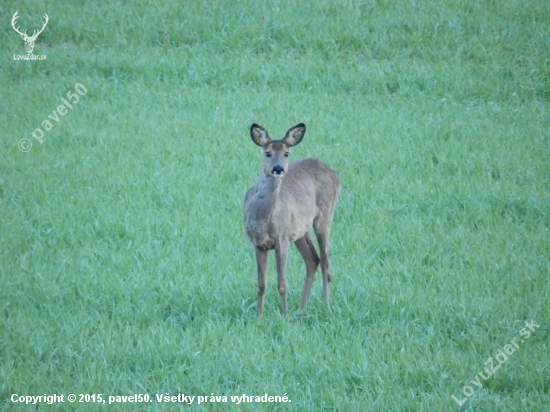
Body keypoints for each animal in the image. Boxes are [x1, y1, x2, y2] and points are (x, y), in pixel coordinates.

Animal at [245, 123, 340, 316]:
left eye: (286, 153)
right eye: (267, 153)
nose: (278, 168)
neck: (261, 219)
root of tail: (334, 174)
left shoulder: (281, 238)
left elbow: (282, 283)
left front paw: (284, 315)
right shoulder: (257, 243)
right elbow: (261, 284)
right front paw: (259, 316)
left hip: (324, 216)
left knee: (325, 260)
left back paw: (325, 304)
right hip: (299, 230)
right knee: (313, 259)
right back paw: (301, 309)